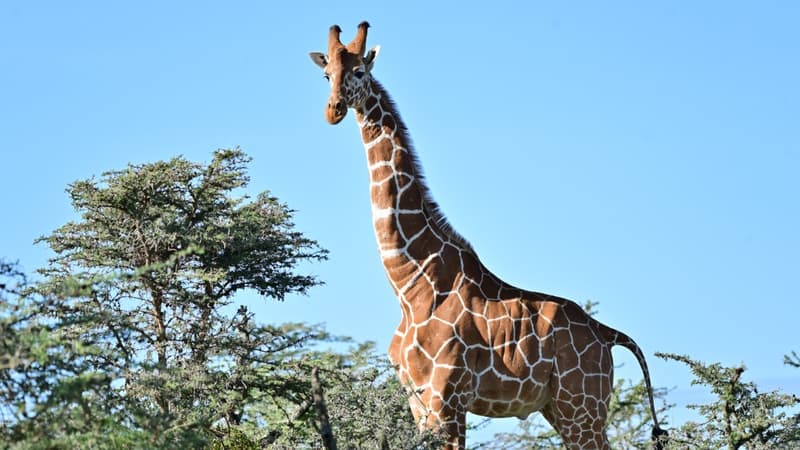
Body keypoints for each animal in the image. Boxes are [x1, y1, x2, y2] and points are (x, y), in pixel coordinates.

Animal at [309, 22, 667, 450]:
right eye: (327, 75)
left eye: (360, 71)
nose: (332, 110)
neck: (410, 286)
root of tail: (609, 335)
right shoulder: (416, 398)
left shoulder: (446, 397)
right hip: (559, 407)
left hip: (581, 405)